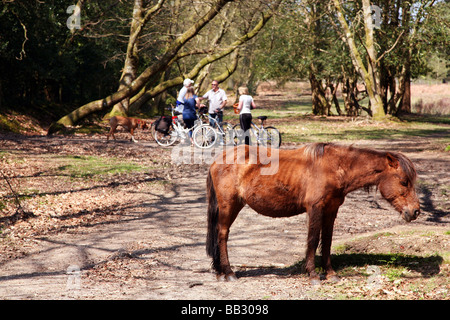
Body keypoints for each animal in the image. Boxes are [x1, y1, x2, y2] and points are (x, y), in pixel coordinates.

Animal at [206, 144, 420, 284]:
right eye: (403, 181)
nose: (415, 211)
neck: (334, 168)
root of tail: (217, 160)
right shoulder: (315, 209)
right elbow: (313, 239)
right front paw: (313, 275)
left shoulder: (331, 210)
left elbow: (327, 241)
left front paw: (331, 273)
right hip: (229, 206)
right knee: (222, 234)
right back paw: (228, 272)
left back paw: (219, 271)